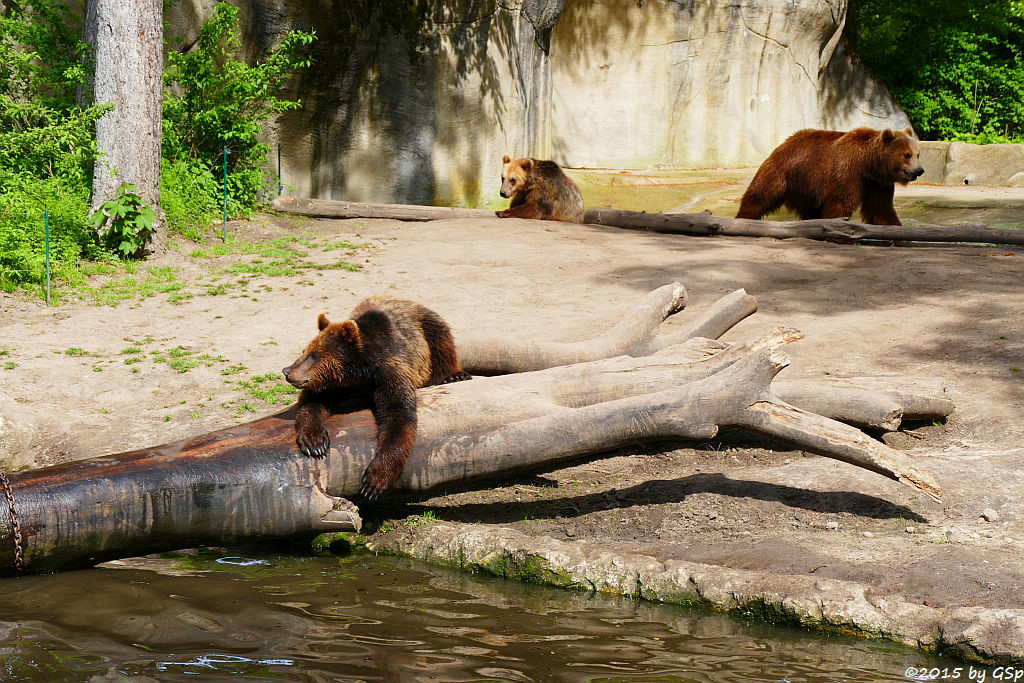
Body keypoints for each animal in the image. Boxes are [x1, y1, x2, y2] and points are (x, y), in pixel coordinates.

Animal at [280, 296, 471, 499]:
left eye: (314, 355)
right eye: (305, 350)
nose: (287, 371)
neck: (359, 374)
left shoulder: (389, 372)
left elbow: (398, 416)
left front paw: (375, 479)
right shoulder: (335, 384)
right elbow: (312, 403)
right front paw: (315, 443)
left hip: (425, 325)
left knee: (441, 340)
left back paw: (454, 375)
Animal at [733, 126, 925, 225]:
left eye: (918, 154)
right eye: (907, 155)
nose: (919, 170)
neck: (868, 165)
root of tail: (784, 142)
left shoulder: (877, 184)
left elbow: (881, 209)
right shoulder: (848, 172)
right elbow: (840, 203)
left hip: (807, 187)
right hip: (783, 172)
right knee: (760, 194)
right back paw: (743, 217)